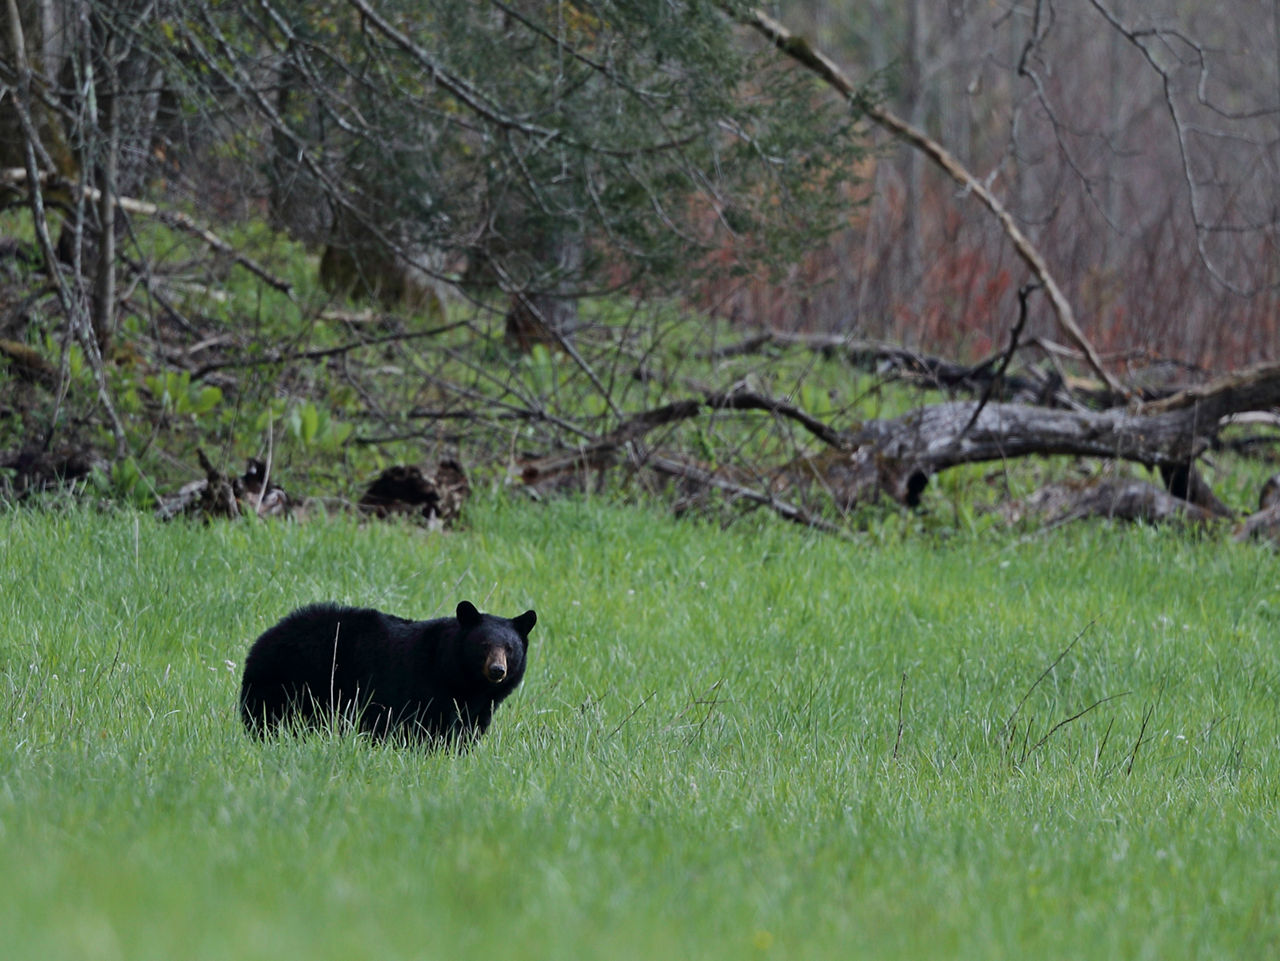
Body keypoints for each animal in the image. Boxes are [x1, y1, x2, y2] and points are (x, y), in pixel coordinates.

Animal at [240, 598, 535, 747]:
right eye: (483, 645)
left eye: (509, 648)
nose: (497, 670)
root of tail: (266, 637)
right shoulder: (422, 689)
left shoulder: (478, 708)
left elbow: (466, 732)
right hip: (290, 679)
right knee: (270, 714)